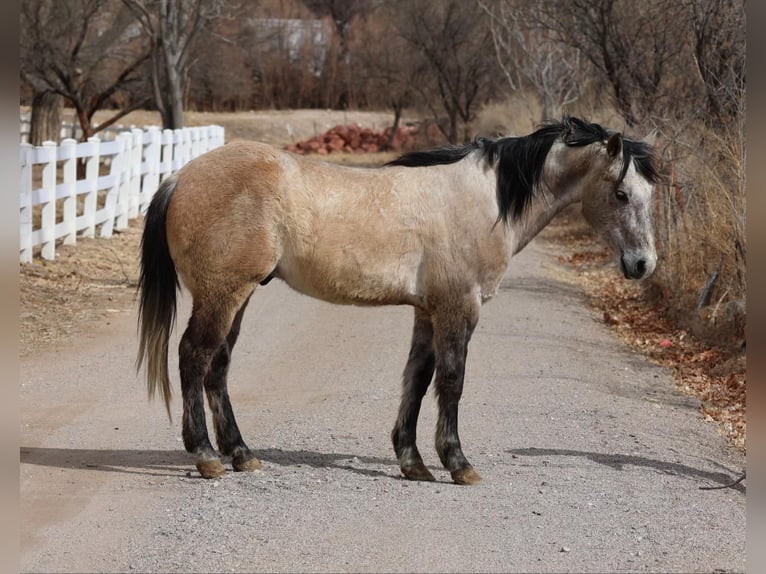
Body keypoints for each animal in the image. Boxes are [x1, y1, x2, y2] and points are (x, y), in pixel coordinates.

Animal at [137, 116, 660, 484]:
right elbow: (451, 382)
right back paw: (206, 456)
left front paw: (413, 462)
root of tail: (180, 177)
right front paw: (457, 463)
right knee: (193, 356)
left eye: (648, 194)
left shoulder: (428, 310)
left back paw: (242, 454)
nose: (643, 264)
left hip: (239, 296)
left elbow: (417, 379)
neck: (485, 201)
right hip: (222, 294)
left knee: (218, 366)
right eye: (620, 193)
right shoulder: (459, 308)